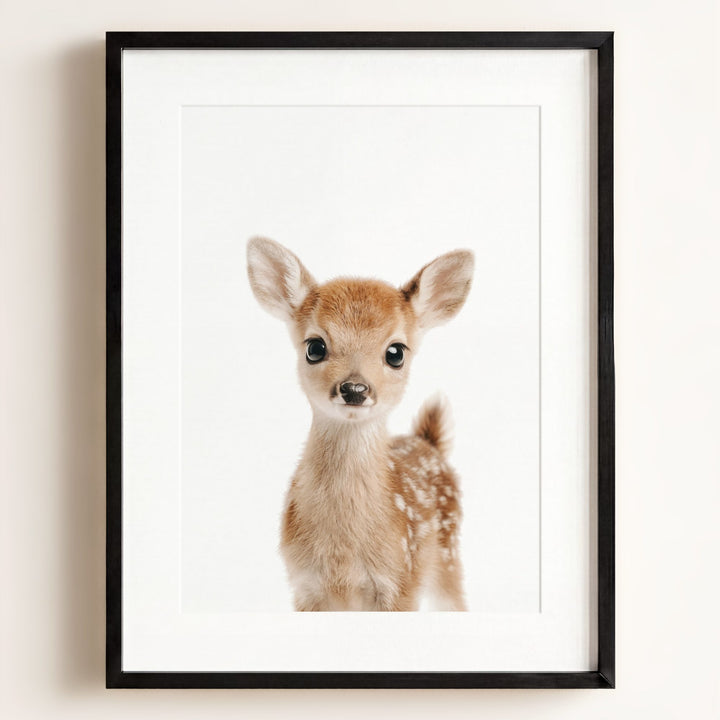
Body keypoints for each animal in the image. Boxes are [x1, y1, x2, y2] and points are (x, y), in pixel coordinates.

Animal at [247, 237, 474, 611]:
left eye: (396, 352)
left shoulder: (401, 582)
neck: (342, 557)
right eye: (315, 347)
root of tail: (429, 442)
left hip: (448, 555)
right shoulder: (304, 586)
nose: (354, 388)